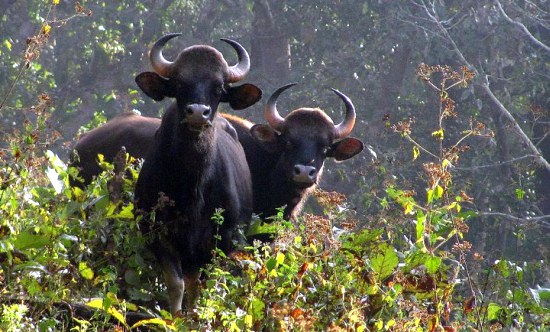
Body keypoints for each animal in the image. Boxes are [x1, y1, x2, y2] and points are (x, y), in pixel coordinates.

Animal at [131, 33, 260, 314]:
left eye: (219, 88)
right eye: (179, 83)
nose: (198, 112)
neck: (193, 186)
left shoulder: (223, 238)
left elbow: (201, 286)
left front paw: (194, 316)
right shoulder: (156, 233)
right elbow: (176, 283)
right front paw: (175, 316)